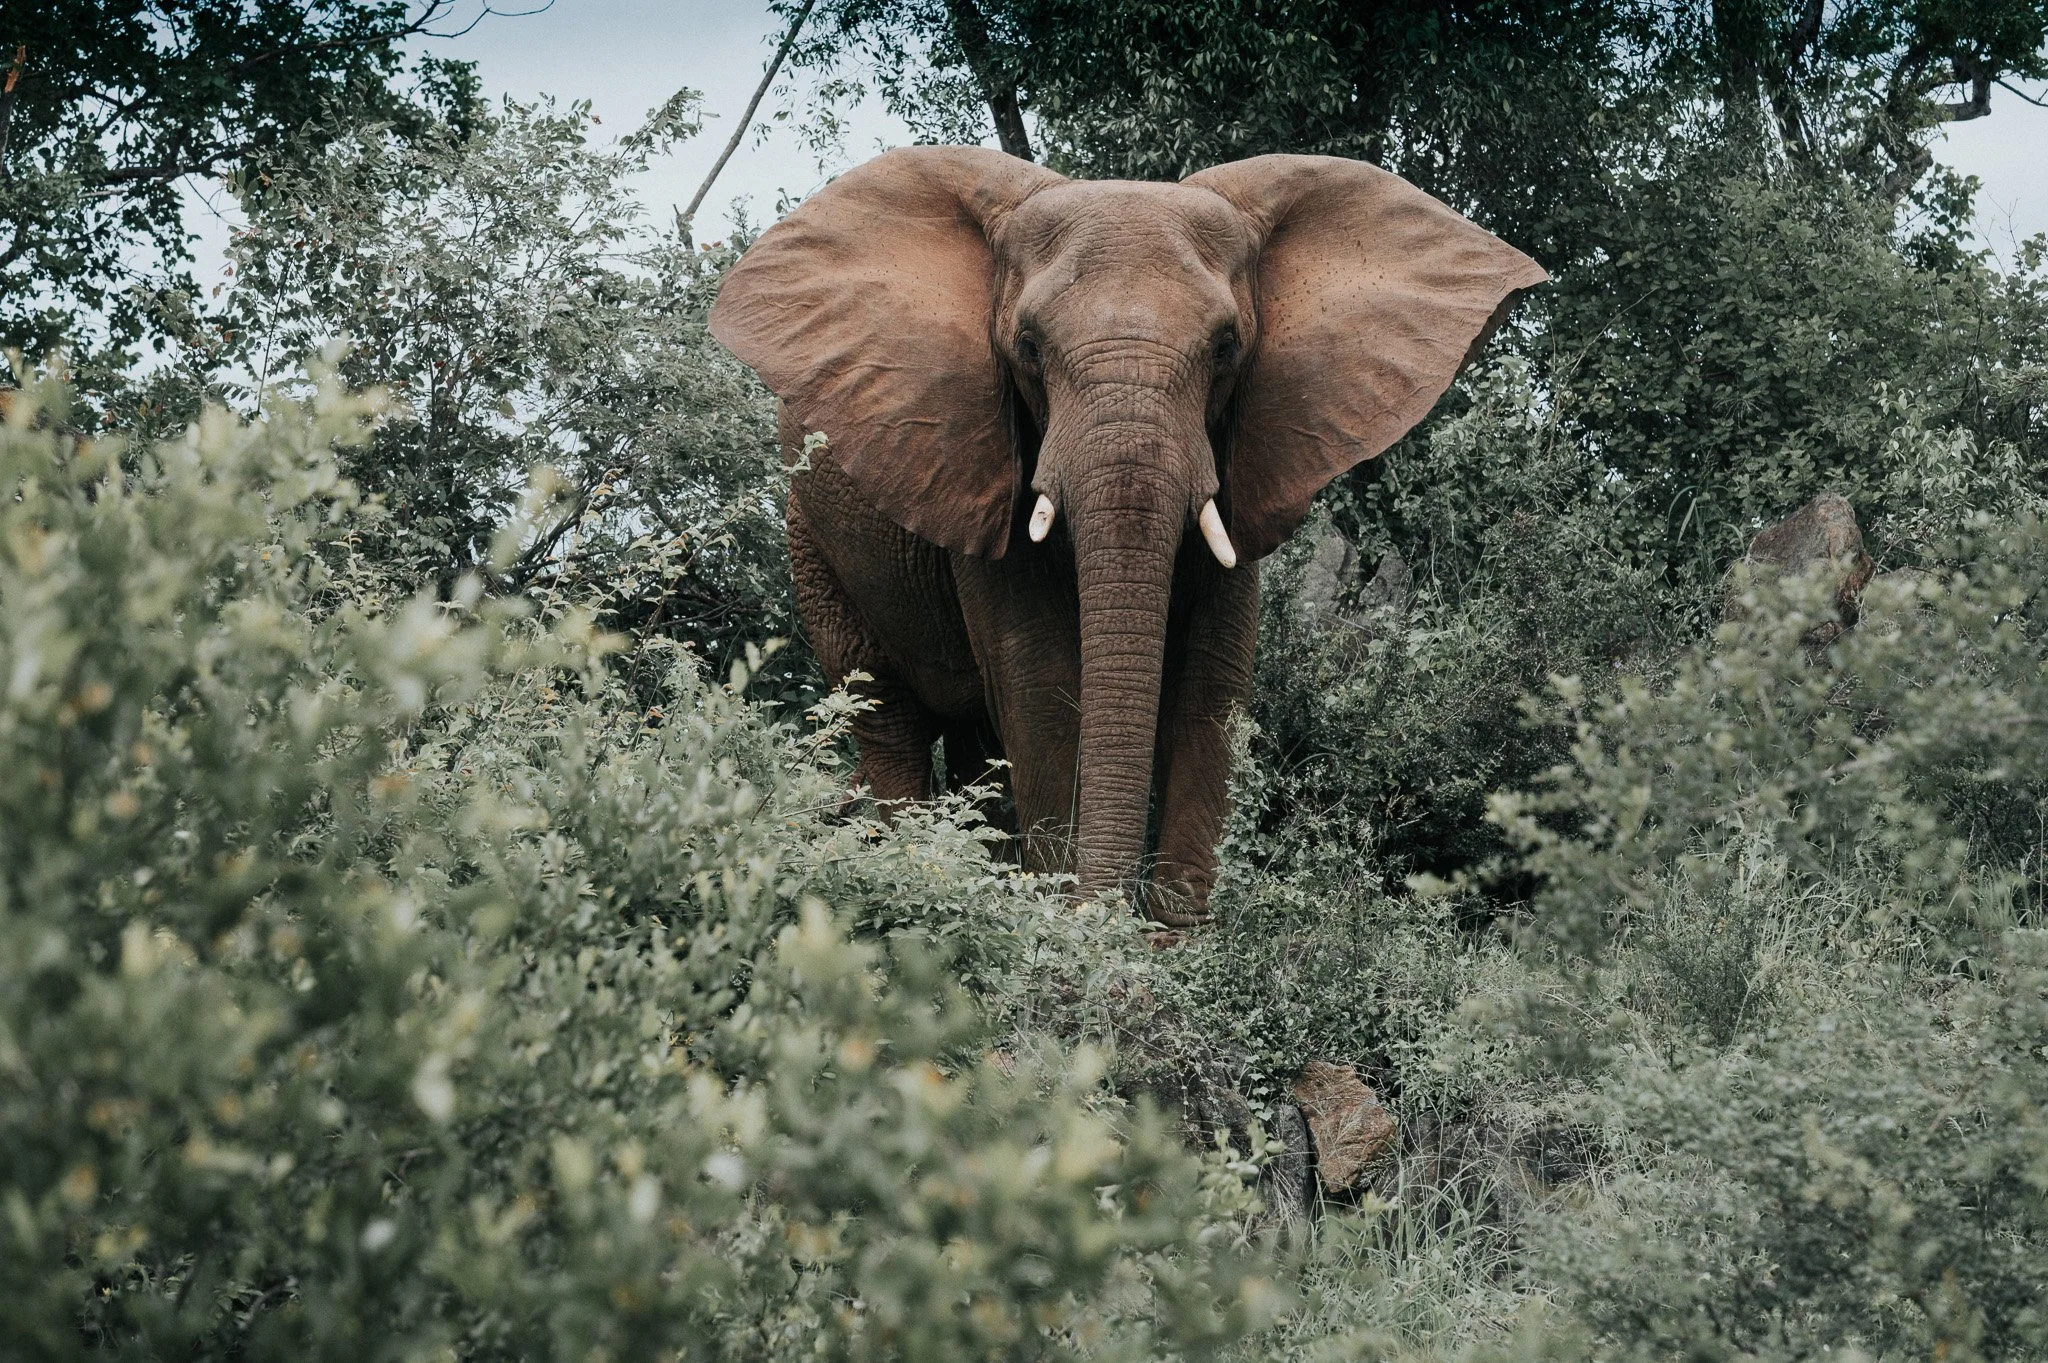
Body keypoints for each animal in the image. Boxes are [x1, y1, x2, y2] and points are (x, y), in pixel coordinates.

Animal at [708, 147, 1544, 925]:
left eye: (1227, 347)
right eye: (1028, 347)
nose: (1110, 910)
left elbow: (1211, 675)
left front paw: (1172, 938)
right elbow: (1041, 676)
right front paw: (1069, 926)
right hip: (811, 538)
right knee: (887, 713)